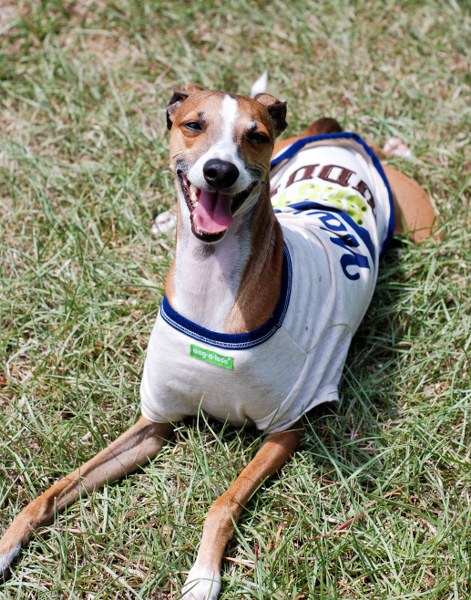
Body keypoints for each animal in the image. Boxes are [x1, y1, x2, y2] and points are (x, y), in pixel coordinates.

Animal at [0, 84, 438, 599]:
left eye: (256, 135)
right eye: (193, 124)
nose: (219, 171)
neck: (210, 289)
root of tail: (337, 136)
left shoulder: (285, 429)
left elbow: (223, 503)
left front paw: (203, 574)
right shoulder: (154, 424)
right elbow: (52, 491)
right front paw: (6, 545)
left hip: (424, 224)